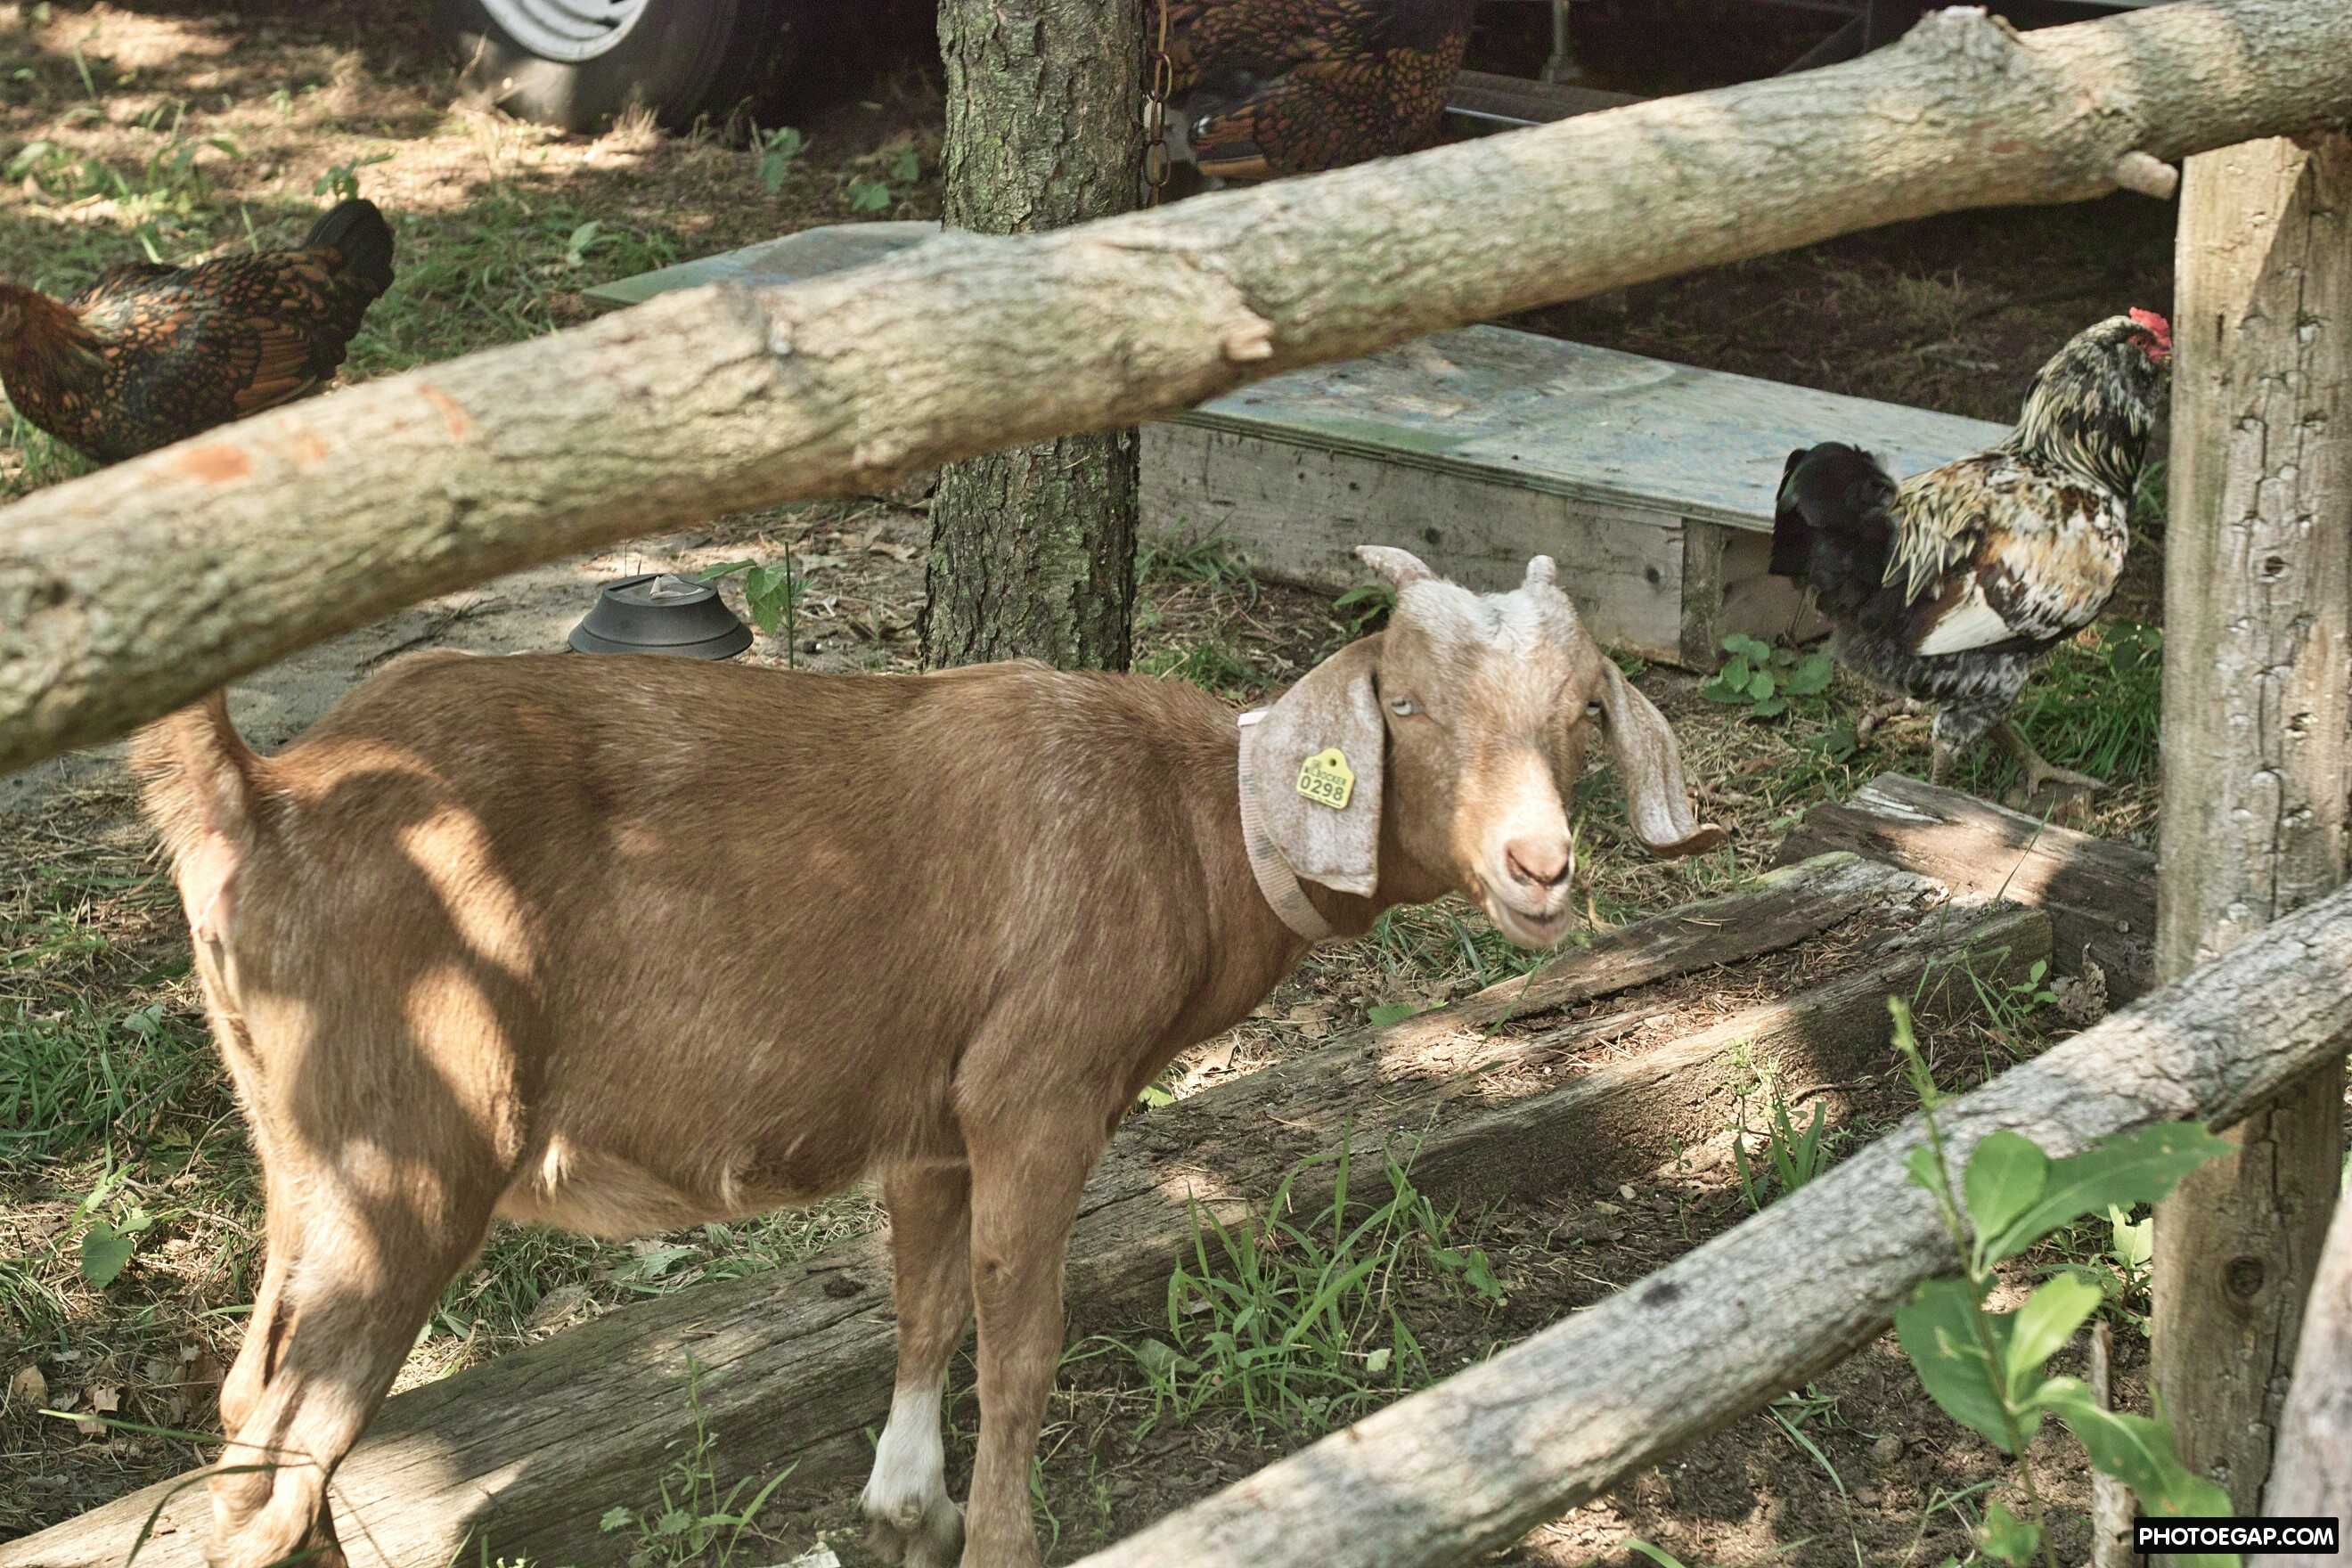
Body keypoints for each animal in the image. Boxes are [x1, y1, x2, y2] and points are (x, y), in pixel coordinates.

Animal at [128, 544, 1724, 1568]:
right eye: (1403, 702)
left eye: (1583, 712)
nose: (1539, 867)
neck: (1192, 824)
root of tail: (263, 791)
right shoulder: (1040, 1095)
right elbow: (1021, 1342)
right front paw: (1003, 1540)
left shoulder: (930, 1114)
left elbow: (927, 1303)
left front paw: (907, 1510)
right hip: (408, 1152)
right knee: (274, 1462)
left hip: (300, 1149)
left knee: (253, 1417)